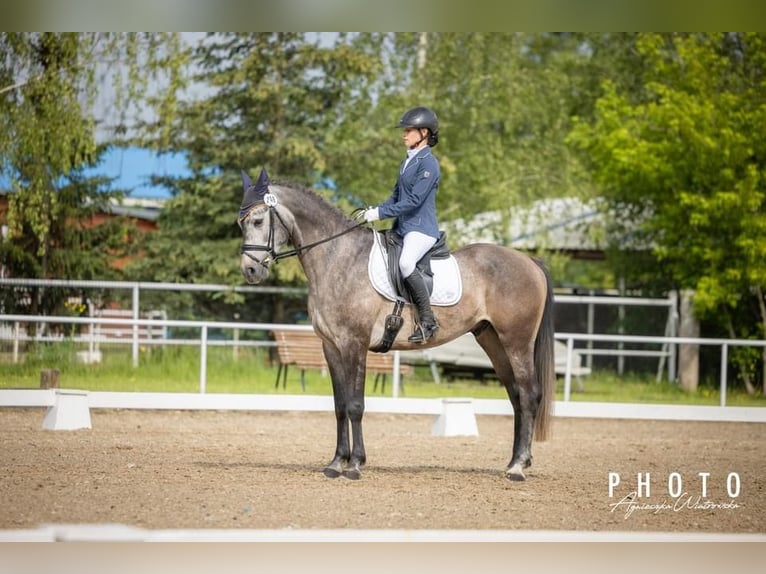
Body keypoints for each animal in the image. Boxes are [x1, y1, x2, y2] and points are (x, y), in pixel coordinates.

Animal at [237, 169, 556, 484]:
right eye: (241, 224)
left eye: (257, 220)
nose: (250, 271)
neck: (338, 258)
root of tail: (529, 261)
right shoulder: (331, 346)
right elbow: (340, 406)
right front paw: (336, 463)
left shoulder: (354, 343)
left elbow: (355, 405)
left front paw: (355, 465)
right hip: (491, 339)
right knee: (515, 394)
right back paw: (515, 461)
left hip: (516, 341)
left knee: (529, 394)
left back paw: (517, 468)